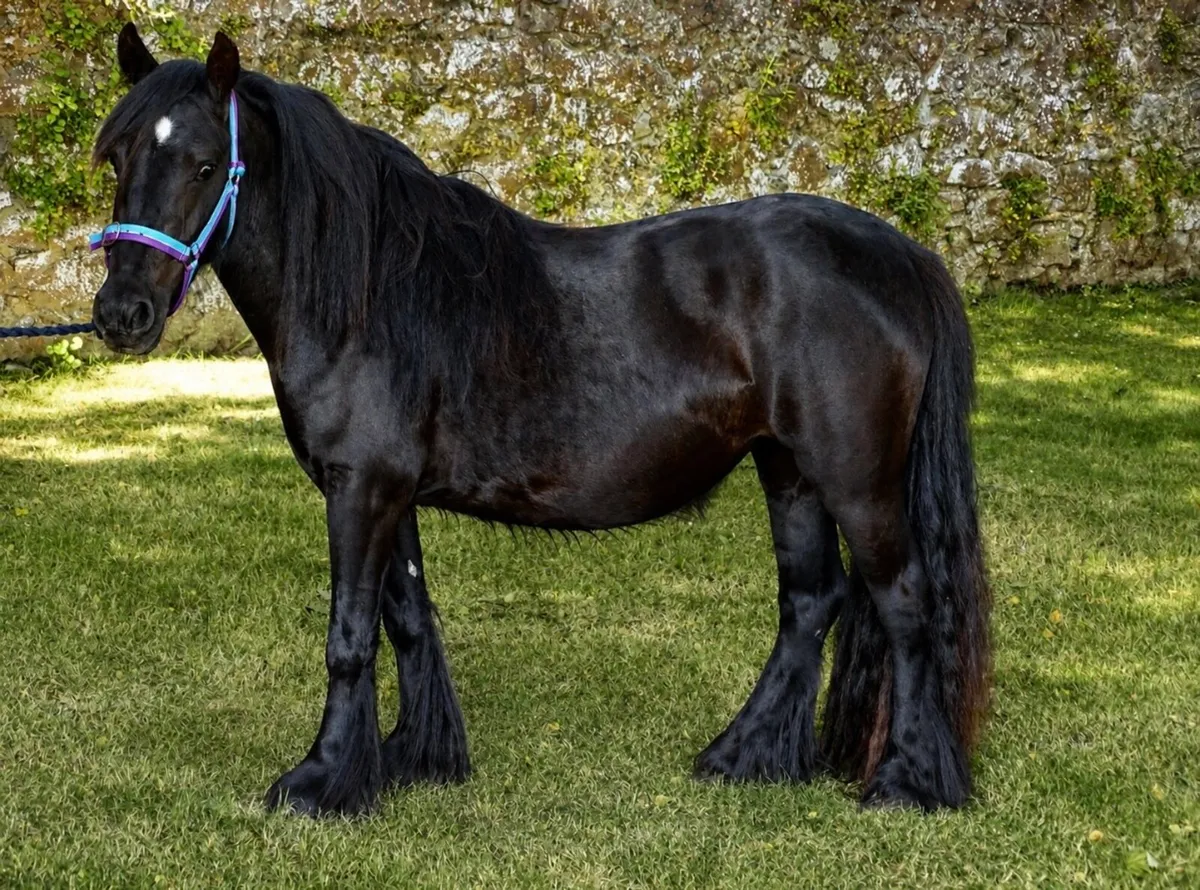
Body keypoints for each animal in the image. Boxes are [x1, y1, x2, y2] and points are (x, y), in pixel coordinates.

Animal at [89, 24, 991, 817]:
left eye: (205, 164)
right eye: (121, 157)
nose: (122, 314)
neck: (368, 293)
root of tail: (901, 255)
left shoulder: (361, 490)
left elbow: (349, 638)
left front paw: (319, 784)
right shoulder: (388, 494)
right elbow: (406, 619)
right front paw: (412, 761)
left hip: (856, 479)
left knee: (905, 605)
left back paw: (905, 783)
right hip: (790, 471)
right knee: (811, 600)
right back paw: (744, 757)